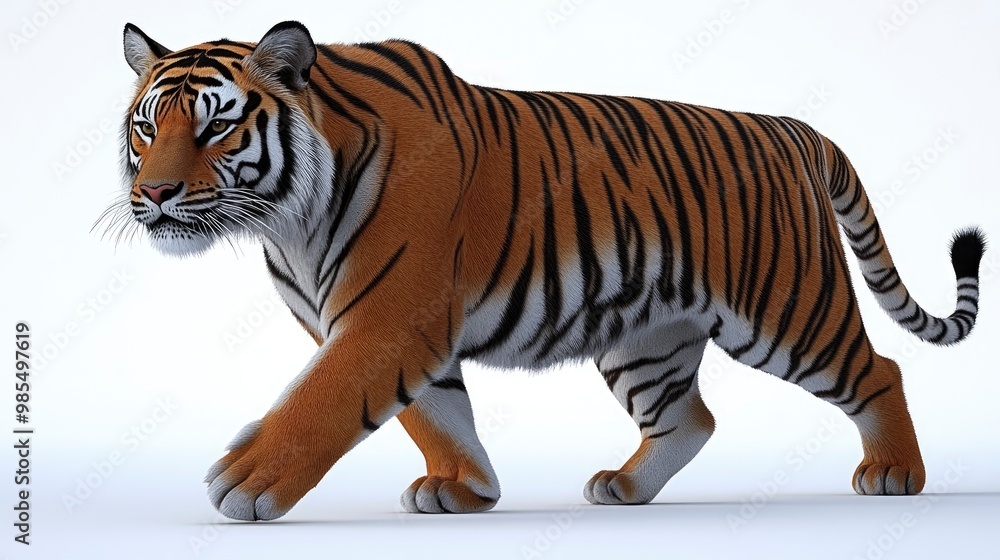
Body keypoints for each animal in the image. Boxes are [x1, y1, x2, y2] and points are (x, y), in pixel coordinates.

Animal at [108, 21, 985, 521]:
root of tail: (796, 128)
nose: (151, 193)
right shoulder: (388, 326)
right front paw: (464, 490)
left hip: (787, 309)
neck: (287, 220)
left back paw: (895, 473)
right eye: (146, 128)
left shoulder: (388, 318)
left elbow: (321, 400)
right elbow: (435, 413)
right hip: (646, 336)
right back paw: (624, 490)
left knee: (880, 370)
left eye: (215, 128)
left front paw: (246, 480)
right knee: (690, 418)